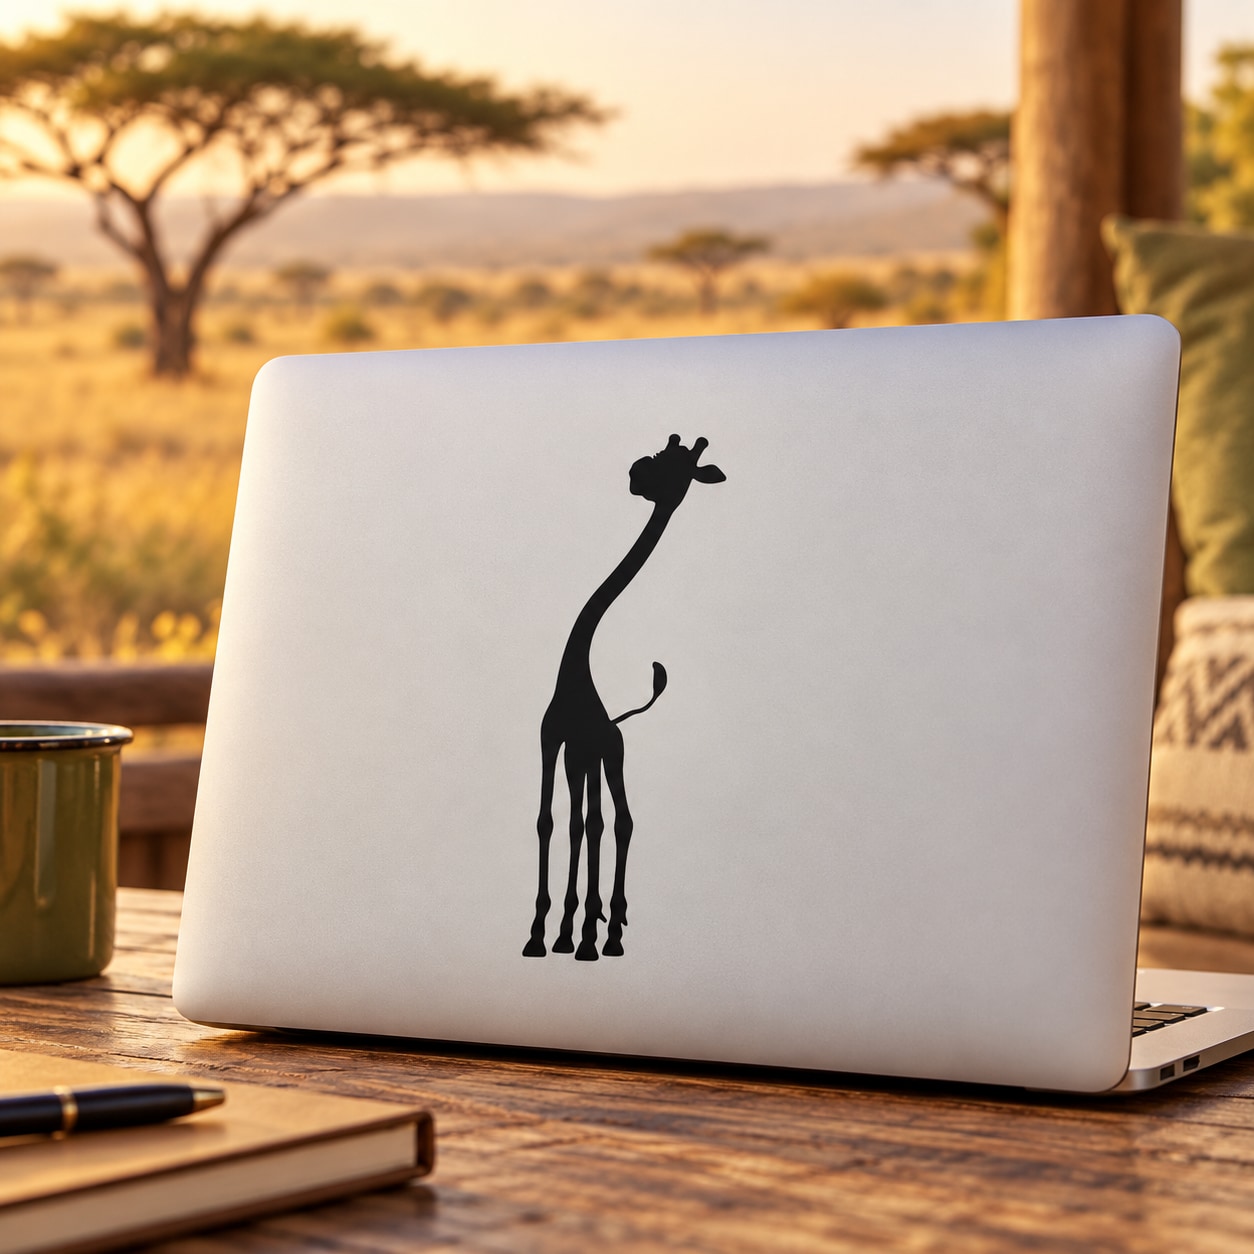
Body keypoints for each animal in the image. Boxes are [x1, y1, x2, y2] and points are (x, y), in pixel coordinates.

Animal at [524, 433, 726, 961]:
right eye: (662, 451)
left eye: (683, 468)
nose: (637, 473)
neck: (575, 677)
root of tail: (617, 721)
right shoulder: (554, 741)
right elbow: (551, 821)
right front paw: (547, 933)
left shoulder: (580, 748)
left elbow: (589, 823)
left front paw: (569, 934)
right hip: (586, 757)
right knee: (587, 823)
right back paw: (580, 928)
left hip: (609, 755)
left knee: (621, 821)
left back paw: (606, 932)